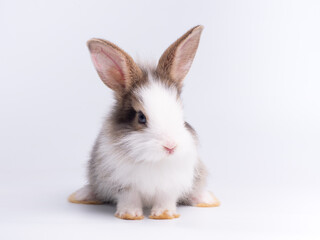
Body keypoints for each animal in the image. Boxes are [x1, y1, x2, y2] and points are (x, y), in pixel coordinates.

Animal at [68, 24, 220, 219]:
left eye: (181, 113)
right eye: (141, 117)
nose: (170, 147)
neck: (153, 160)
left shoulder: (171, 184)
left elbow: (166, 198)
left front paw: (164, 214)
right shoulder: (123, 183)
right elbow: (129, 198)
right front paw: (129, 215)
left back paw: (206, 199)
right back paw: (83, 195)